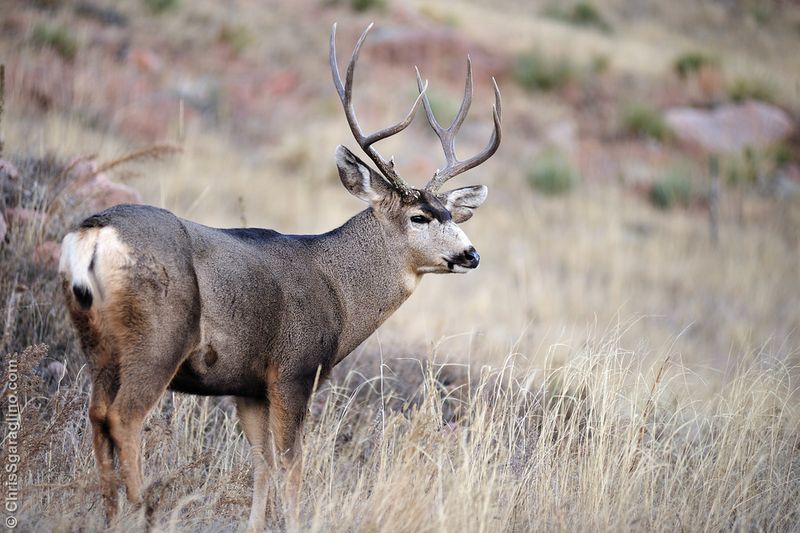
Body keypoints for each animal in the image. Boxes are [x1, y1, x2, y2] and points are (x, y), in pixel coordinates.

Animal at [58, 23, 501, 530]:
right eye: (419, 216)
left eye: (450, 212)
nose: (471, 254)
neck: (339, 292)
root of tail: (95, 231)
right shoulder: (294, 368)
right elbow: (292, 463)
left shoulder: (249, 385)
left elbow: (261, 462)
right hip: (158, 338)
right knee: (123, 419)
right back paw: (137, 513)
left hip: (97, 342)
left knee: (97, 414)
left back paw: (109, 512)